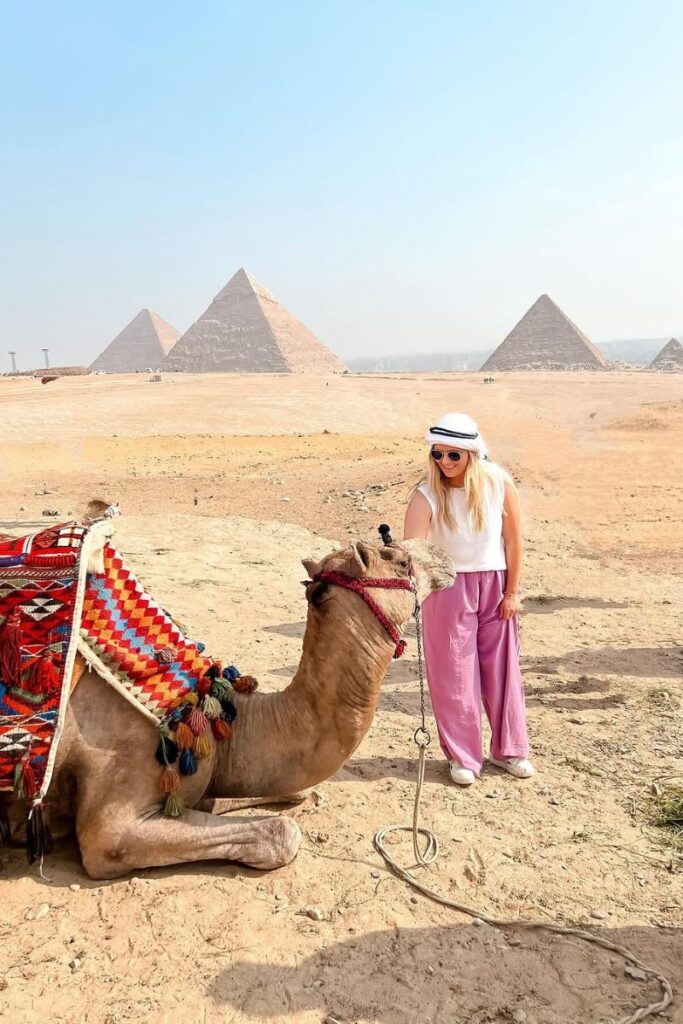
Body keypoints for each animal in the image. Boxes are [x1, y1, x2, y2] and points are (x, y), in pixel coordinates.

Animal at [16, 537, 454, 879]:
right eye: (395, 557)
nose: (444, 555)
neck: (219, 722)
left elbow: (289, 792)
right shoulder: (112, 819)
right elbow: (283, 834)